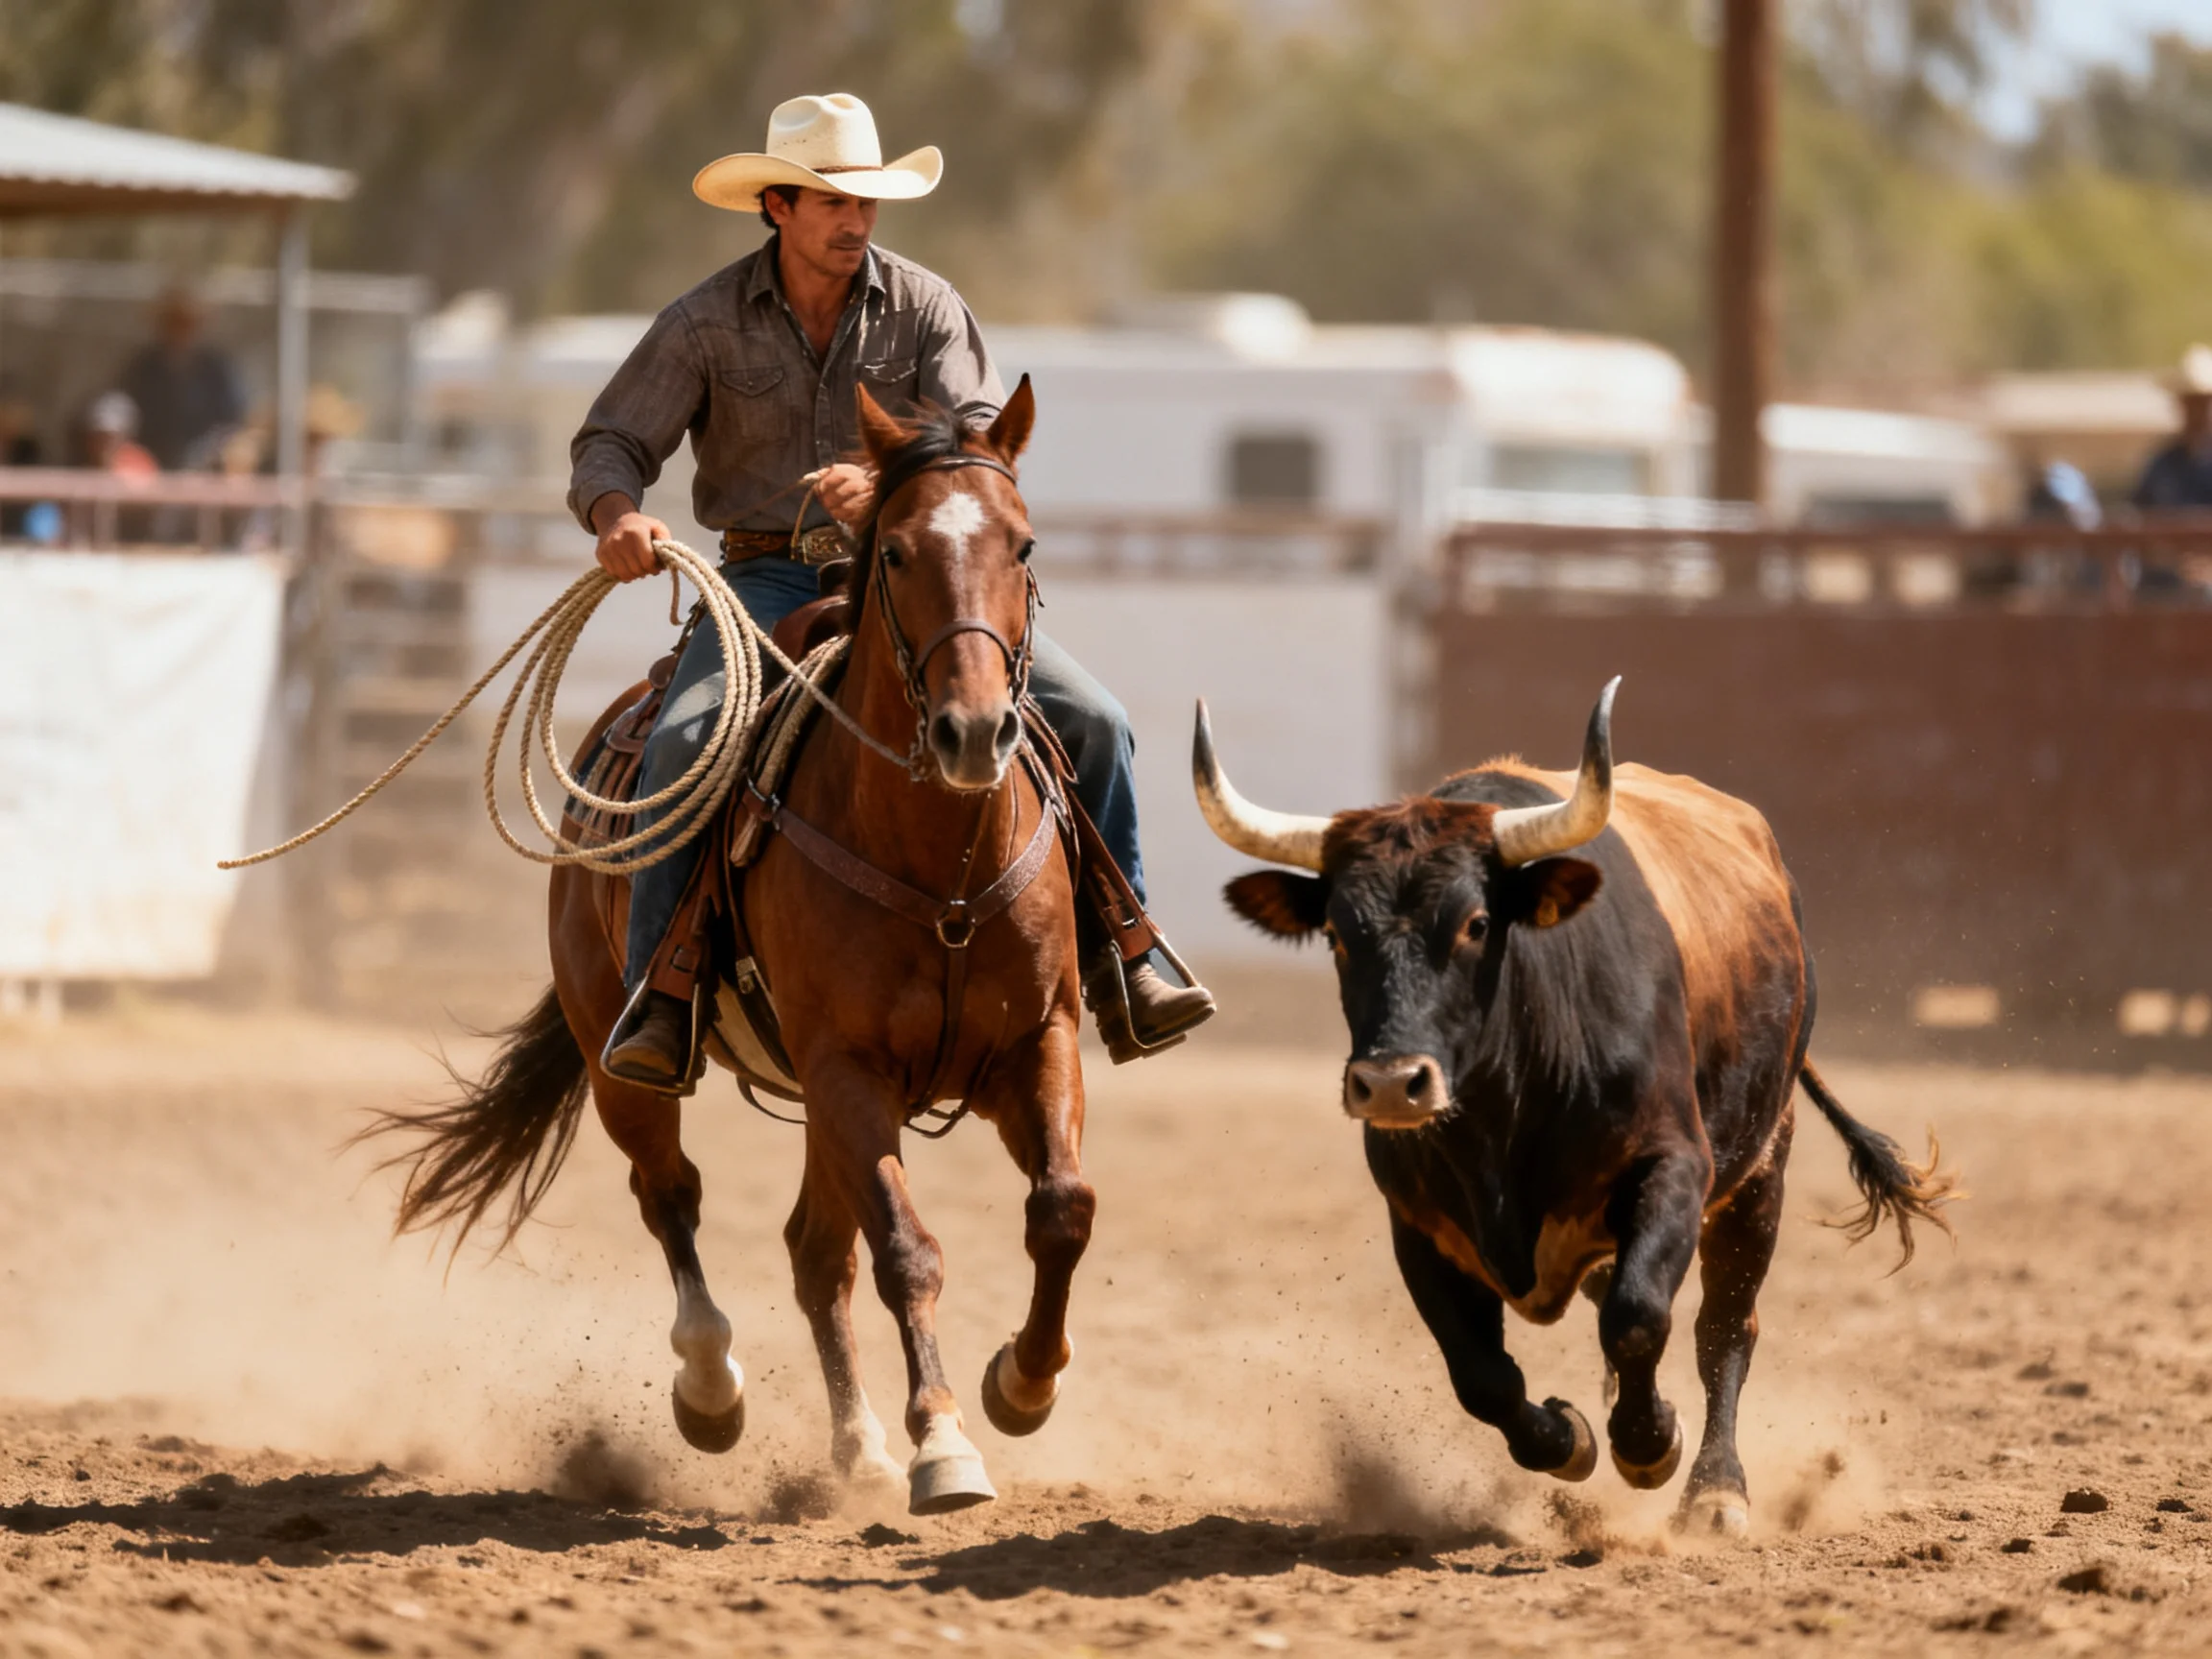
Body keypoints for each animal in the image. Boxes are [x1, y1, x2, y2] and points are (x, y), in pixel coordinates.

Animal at [373, 380, 1091, 1515]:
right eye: (896, 551)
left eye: (1021, 545)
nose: (973, 732)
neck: (939, 860)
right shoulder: (848, 1070)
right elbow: (907, 1251)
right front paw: (945, 1442)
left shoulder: (1038, 1042)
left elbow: (1060, 1210)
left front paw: (1022, 1385)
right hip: (621, 1057)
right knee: (672, 1197)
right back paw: (713, 1389)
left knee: (814, 1254)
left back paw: (859, 1450)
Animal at [1190, 680, 1957, 1535]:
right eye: (1335, 932)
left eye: (1476, 923)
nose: (1390, 1082)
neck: (1503, 1117)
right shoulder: (1416, 1221)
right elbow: (1482, 1373)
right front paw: (1569, 1440)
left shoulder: (1674, 1169)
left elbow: (1638, 1317)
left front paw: (1650, 1444)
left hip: (1763, 1165)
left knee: (1725, 1326)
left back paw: (1716, 1490)